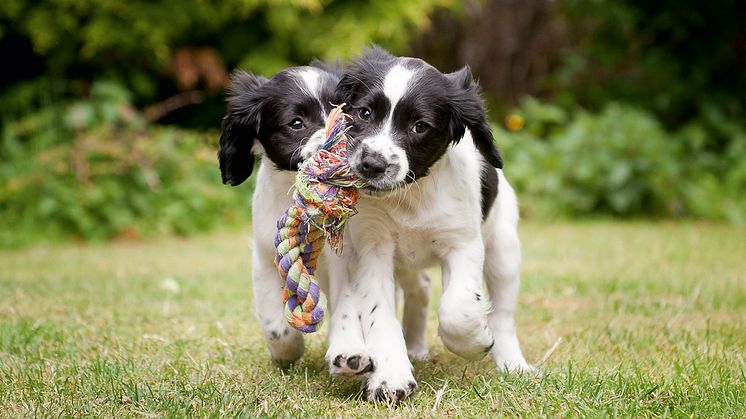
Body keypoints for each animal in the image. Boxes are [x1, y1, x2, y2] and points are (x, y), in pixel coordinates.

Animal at [324, 48, 528, 404]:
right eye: (364, 112)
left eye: (420, 126)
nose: (372, 165)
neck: (410, 196)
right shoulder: (372, 249)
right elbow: (380, 315)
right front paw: (390, 377)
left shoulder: (462, 244)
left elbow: (457, 309)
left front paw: (475, 341)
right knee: (418, 288)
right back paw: (415, 347)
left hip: (503, 250)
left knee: (503, 314)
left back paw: (513, 364)